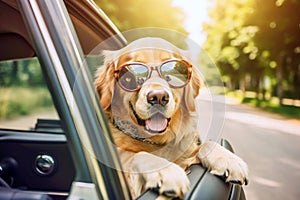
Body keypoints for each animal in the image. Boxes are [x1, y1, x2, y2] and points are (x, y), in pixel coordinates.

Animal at [94, 37, 248, 198]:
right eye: (130, 77)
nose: (158, 97)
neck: (155, 140)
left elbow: (206, 144)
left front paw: (229, 159)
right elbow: (136, 155)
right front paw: (167, 170)